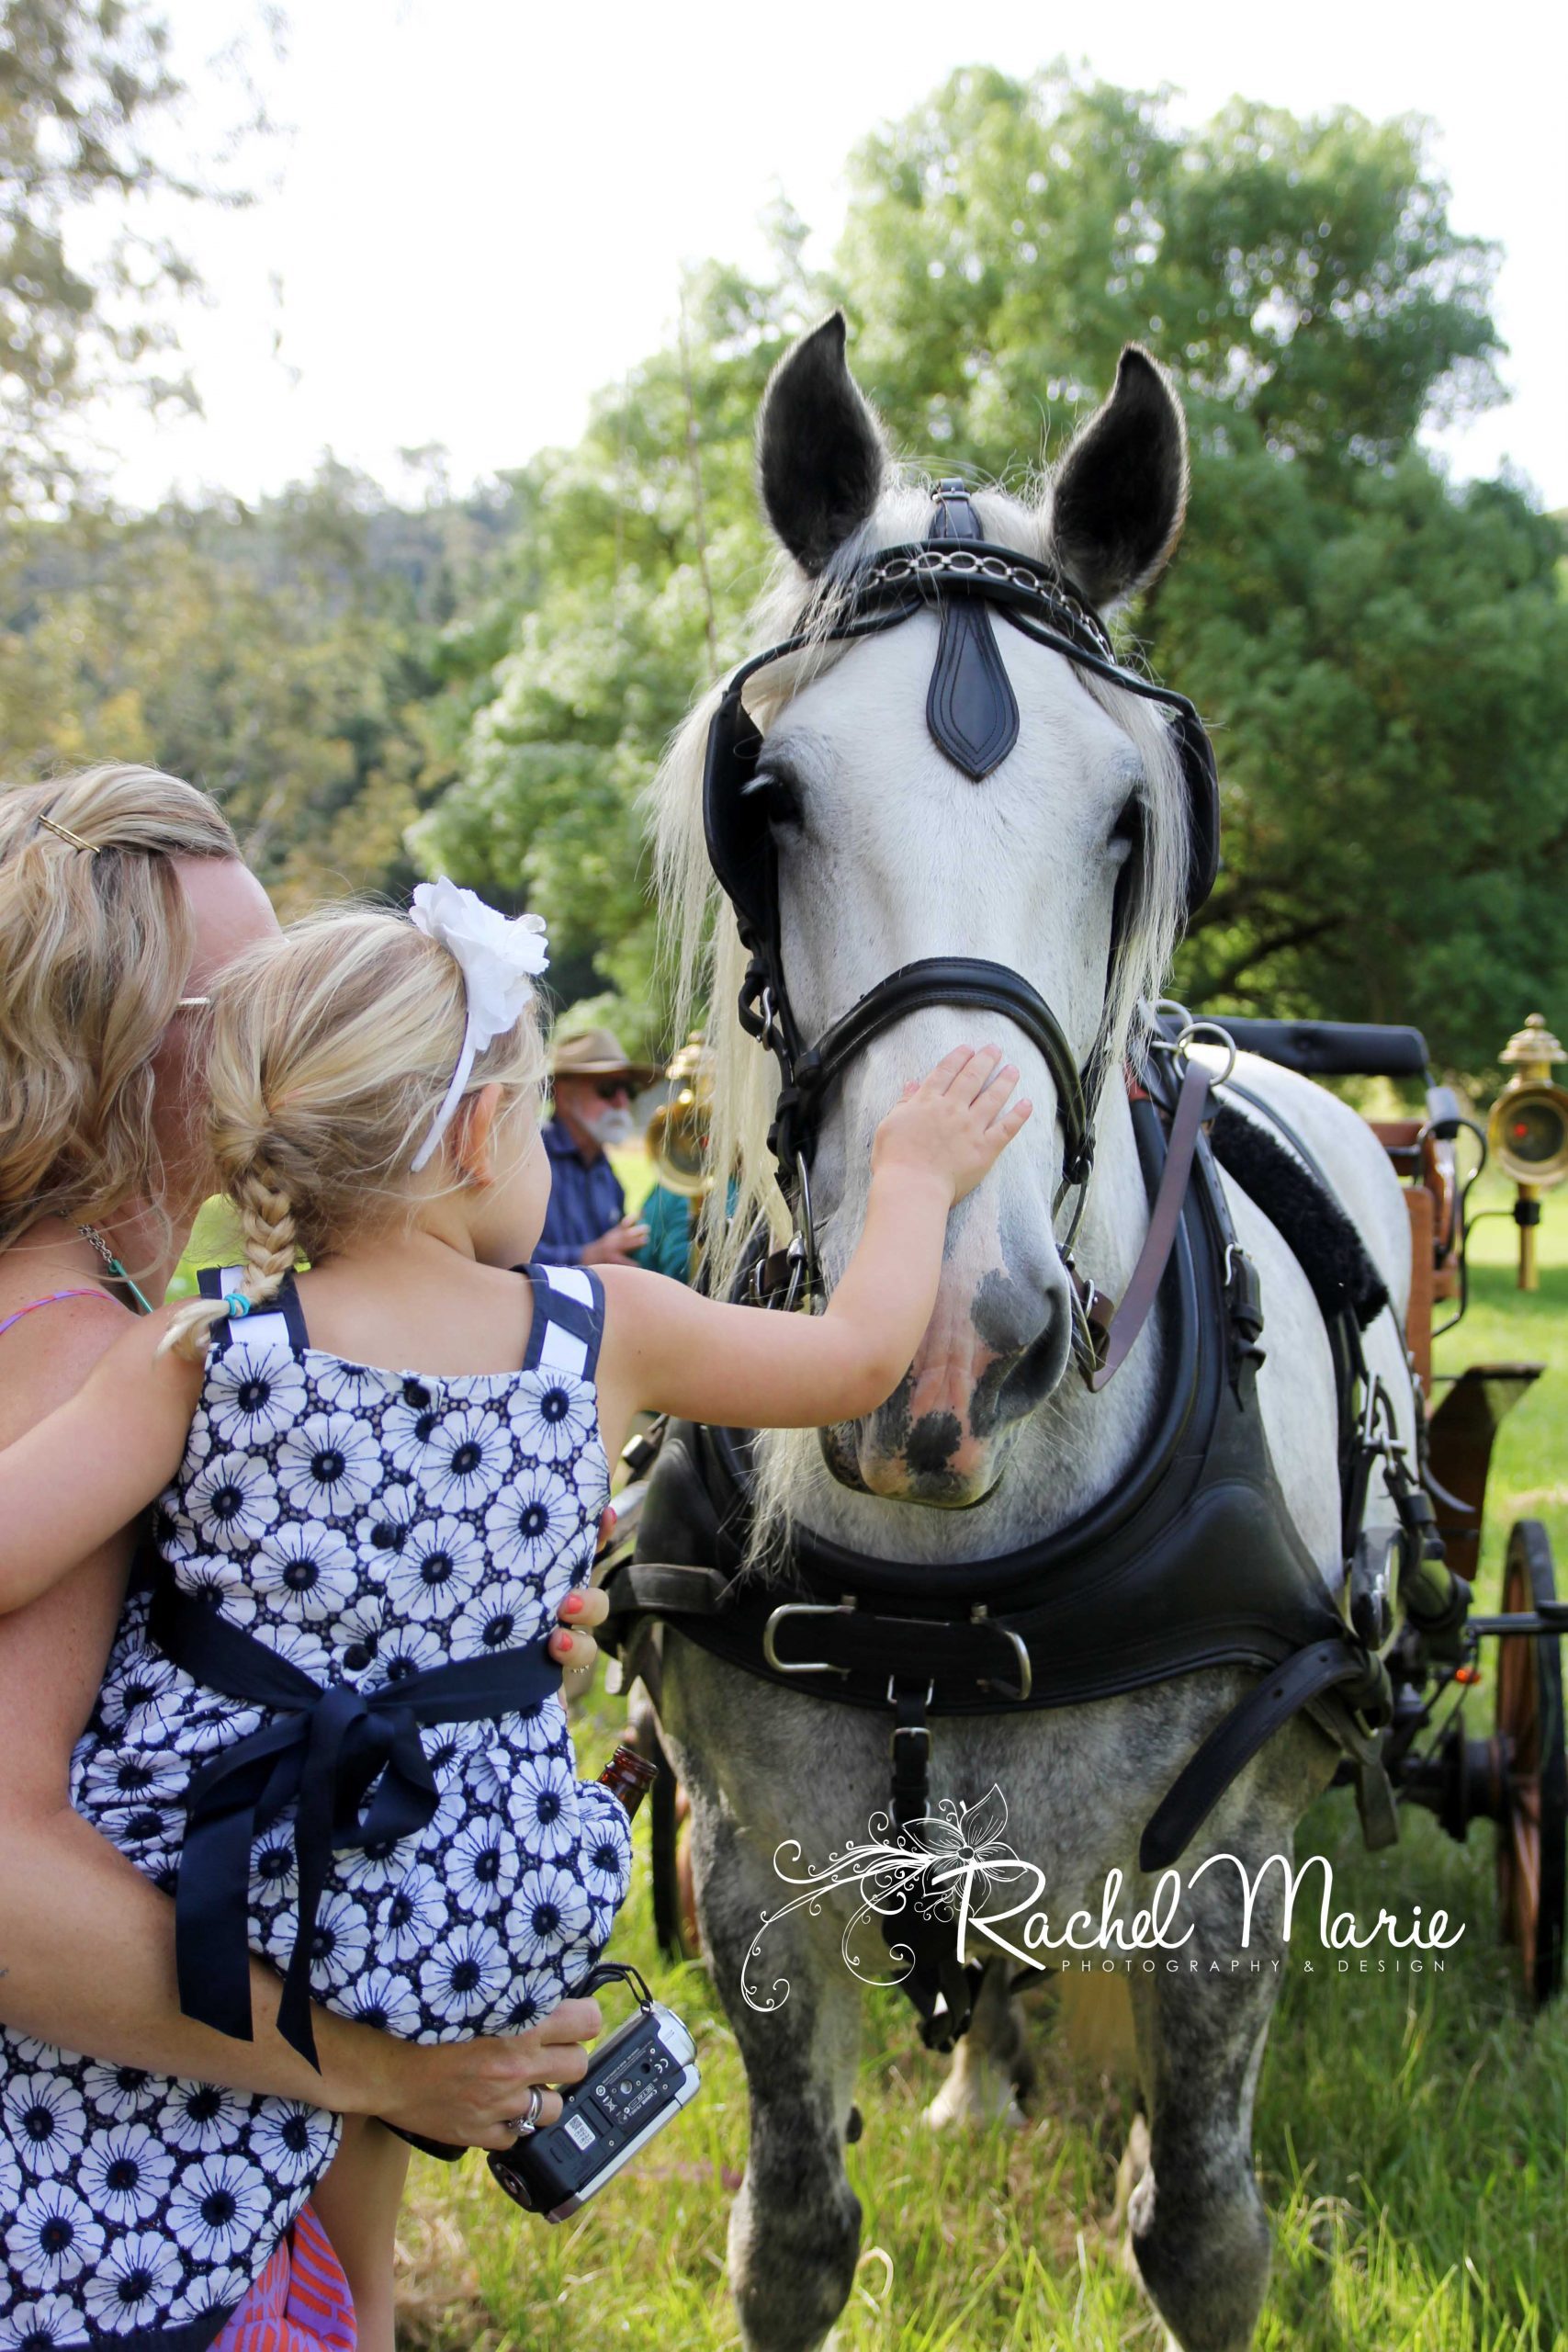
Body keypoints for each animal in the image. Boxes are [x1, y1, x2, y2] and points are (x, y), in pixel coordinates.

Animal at [644, 317, 1419, 2352]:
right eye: (769, 799)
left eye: (1135, 817)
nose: (947, 1354)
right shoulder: (747, 1867)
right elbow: (789, 2238)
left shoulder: (1226, 1880)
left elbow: (1201, 2234)